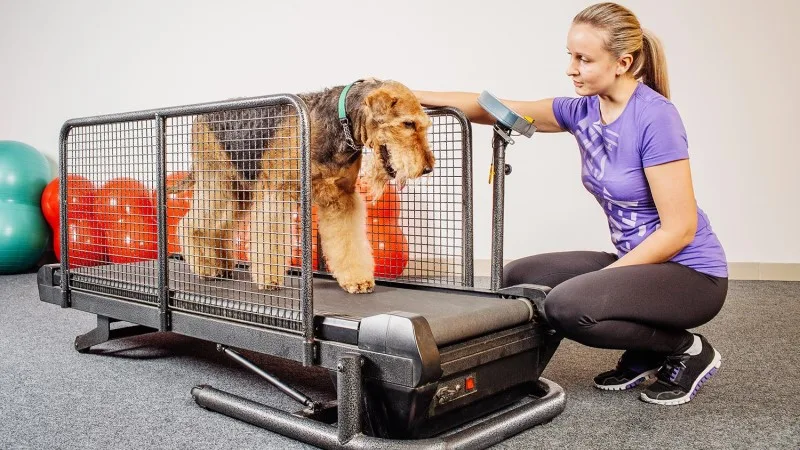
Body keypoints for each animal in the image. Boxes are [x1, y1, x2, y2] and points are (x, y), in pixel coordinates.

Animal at [177, 79, 434, 294]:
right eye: (408, 123)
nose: (428, 168)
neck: (341, 123)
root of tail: (198, 118)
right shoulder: (277, 193)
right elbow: (270, 241)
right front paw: (269, 280)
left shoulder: (341, 198)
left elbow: (348, 243)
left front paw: (357, 280)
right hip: (218, 183)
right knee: (190, 224)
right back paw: (205, 267)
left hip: (238, 191)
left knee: (220, 229)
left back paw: (222, 266)